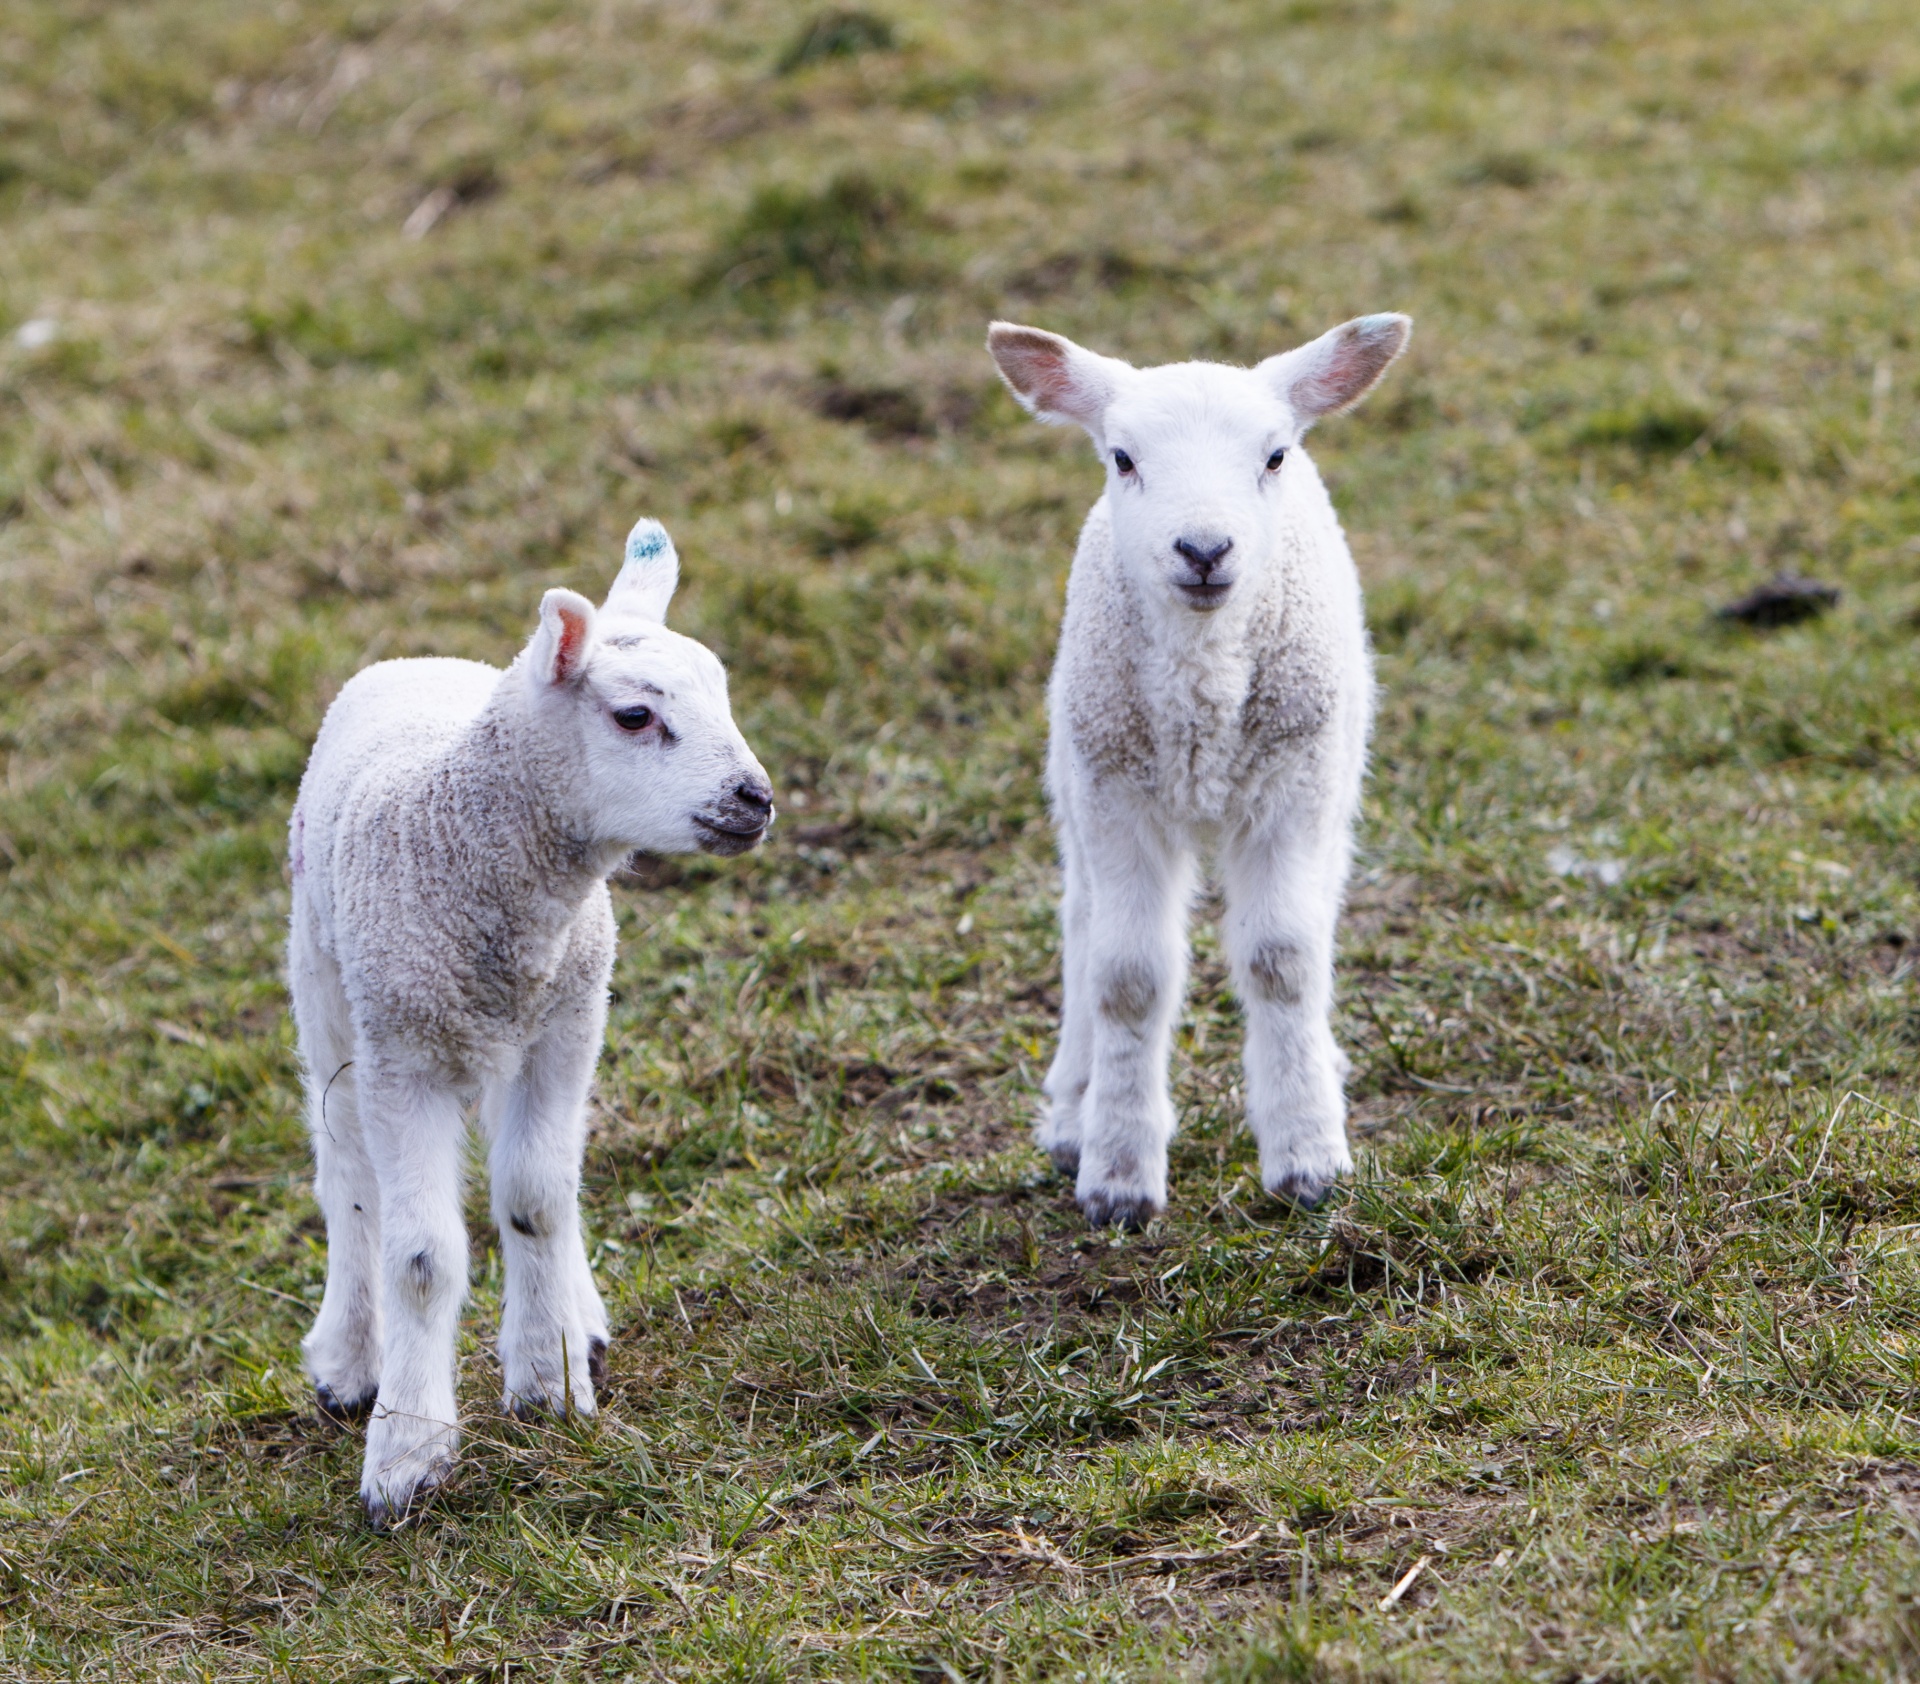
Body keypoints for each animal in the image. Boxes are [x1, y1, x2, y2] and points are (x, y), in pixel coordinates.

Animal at [288, 518, 768, 1520]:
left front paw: (548, 1381)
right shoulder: (403, 1056)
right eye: (635, 717)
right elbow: (421, 1255)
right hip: (326, 993)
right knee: (347, 1174)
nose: (756, 799)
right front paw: (407, 1453)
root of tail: (418, 658)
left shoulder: (565, 1028)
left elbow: (538, 1199)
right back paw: (349, 1359)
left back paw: (576, 1321)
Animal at [990, 309, 1413, 1221]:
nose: (1204, 549)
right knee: (1081, 922)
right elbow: (1127, 976)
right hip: (1073, 775)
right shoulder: (1116, 797)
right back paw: (1072, 1107)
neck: (1202, 712)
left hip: (1335, 765)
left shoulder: (1292, 789)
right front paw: (1117, 1173)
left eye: (1274, 456)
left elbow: (1283, 961)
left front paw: (1307, 1158)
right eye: (1122, 458)